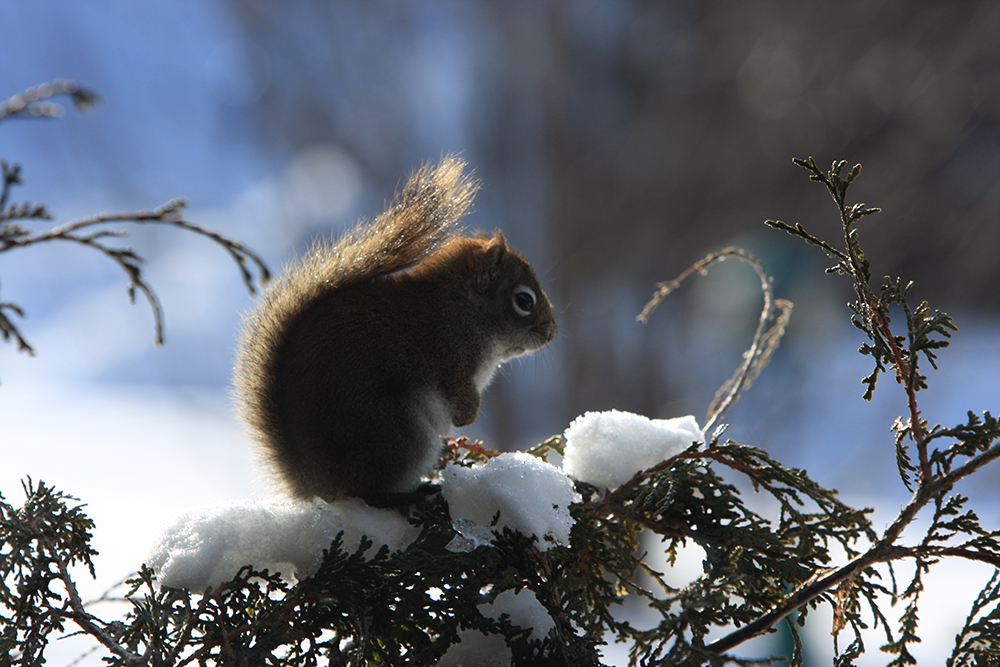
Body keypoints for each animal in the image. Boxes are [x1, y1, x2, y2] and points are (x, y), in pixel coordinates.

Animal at [237, 158, 560, 506]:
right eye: (524, 300)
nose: (552, 332)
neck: (464, 310)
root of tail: (318, 484)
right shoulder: (449, 354)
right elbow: (459, 396)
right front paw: (467, 416)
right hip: (399, 432)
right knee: (368, 493)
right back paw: (411, 495)